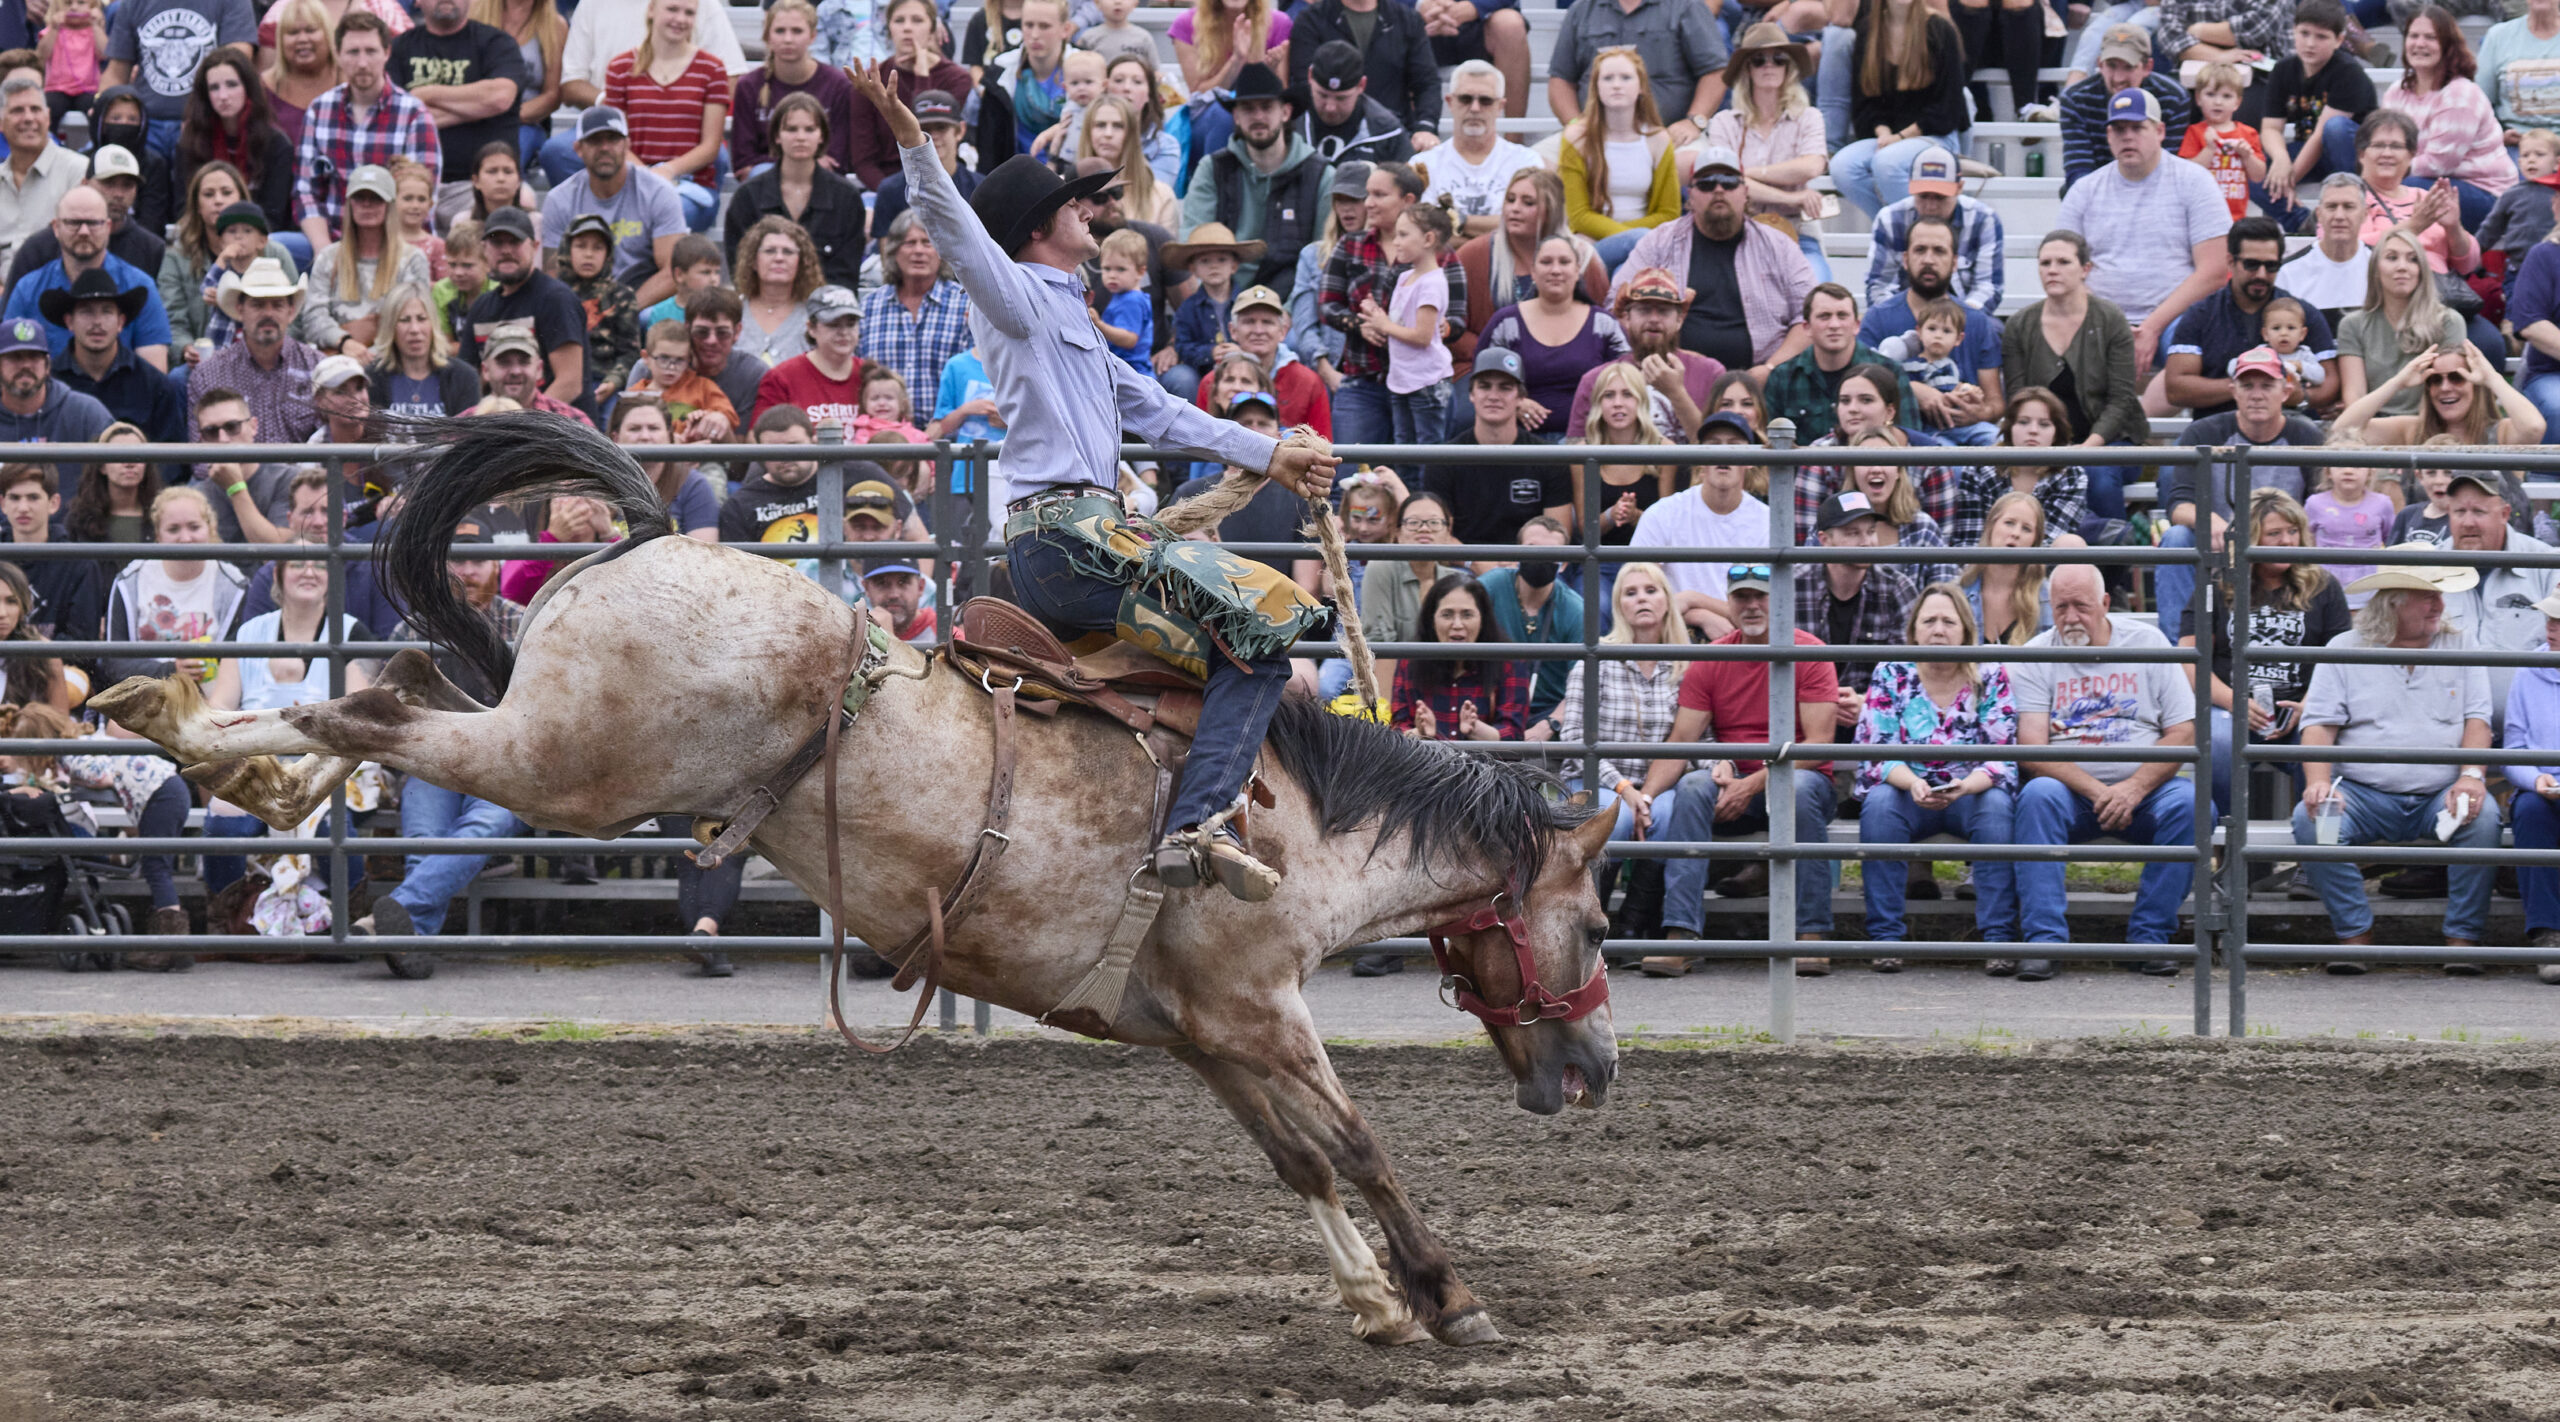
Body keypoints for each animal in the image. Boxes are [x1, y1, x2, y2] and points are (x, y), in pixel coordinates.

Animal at [104, 417, 1617, 1352]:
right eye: (1596, 916)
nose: (1597, 1074)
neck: (1301, 816)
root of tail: (651, 534)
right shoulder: (1260, 1011)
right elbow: (1356, 1146)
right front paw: (1450, 1297)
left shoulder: (1201, 1030)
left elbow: (1298, 1157)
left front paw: (1376, 1303)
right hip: (567, 761)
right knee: (378, 705)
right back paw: (210, 744)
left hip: (546, 740)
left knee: (395, 681)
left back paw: (204, 740)